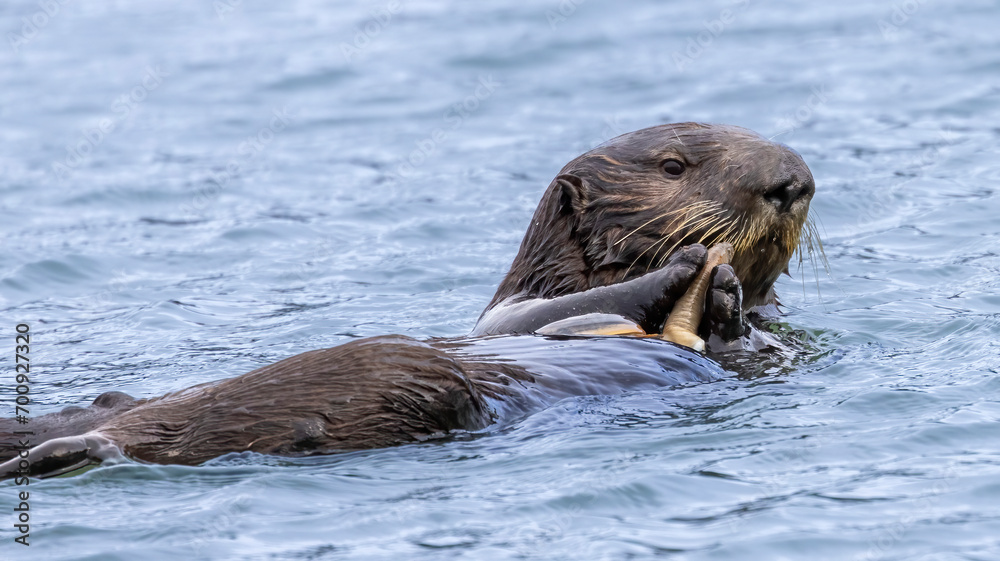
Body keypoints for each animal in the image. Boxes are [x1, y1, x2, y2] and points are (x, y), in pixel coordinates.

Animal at [0, 123, 816, 480]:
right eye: (675, 166)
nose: (792, 180)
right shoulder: (515, 312)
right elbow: (555, 316)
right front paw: (692, 271)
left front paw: (728, 301)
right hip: (395, 369)